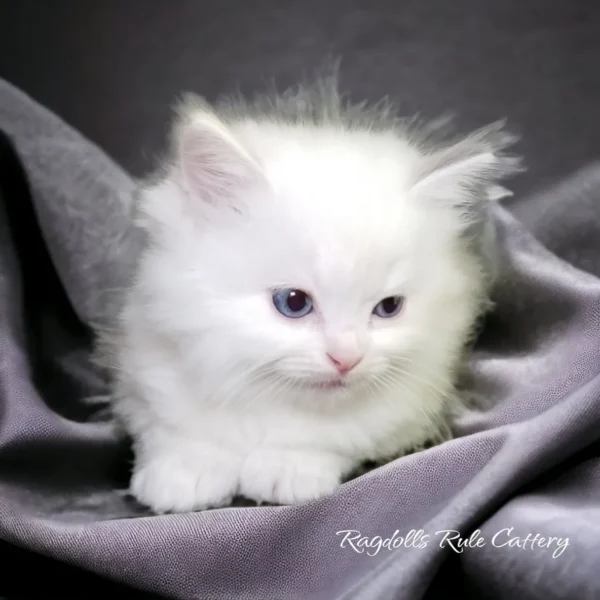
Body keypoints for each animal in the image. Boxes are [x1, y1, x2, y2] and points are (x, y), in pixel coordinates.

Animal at [96, 69, 524, 510]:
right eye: (294, 302)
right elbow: (173, 428)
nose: (346, 358)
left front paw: (287, 467)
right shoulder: (142, 369)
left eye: (389, 307)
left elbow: (330, 439)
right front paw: (186, 469)